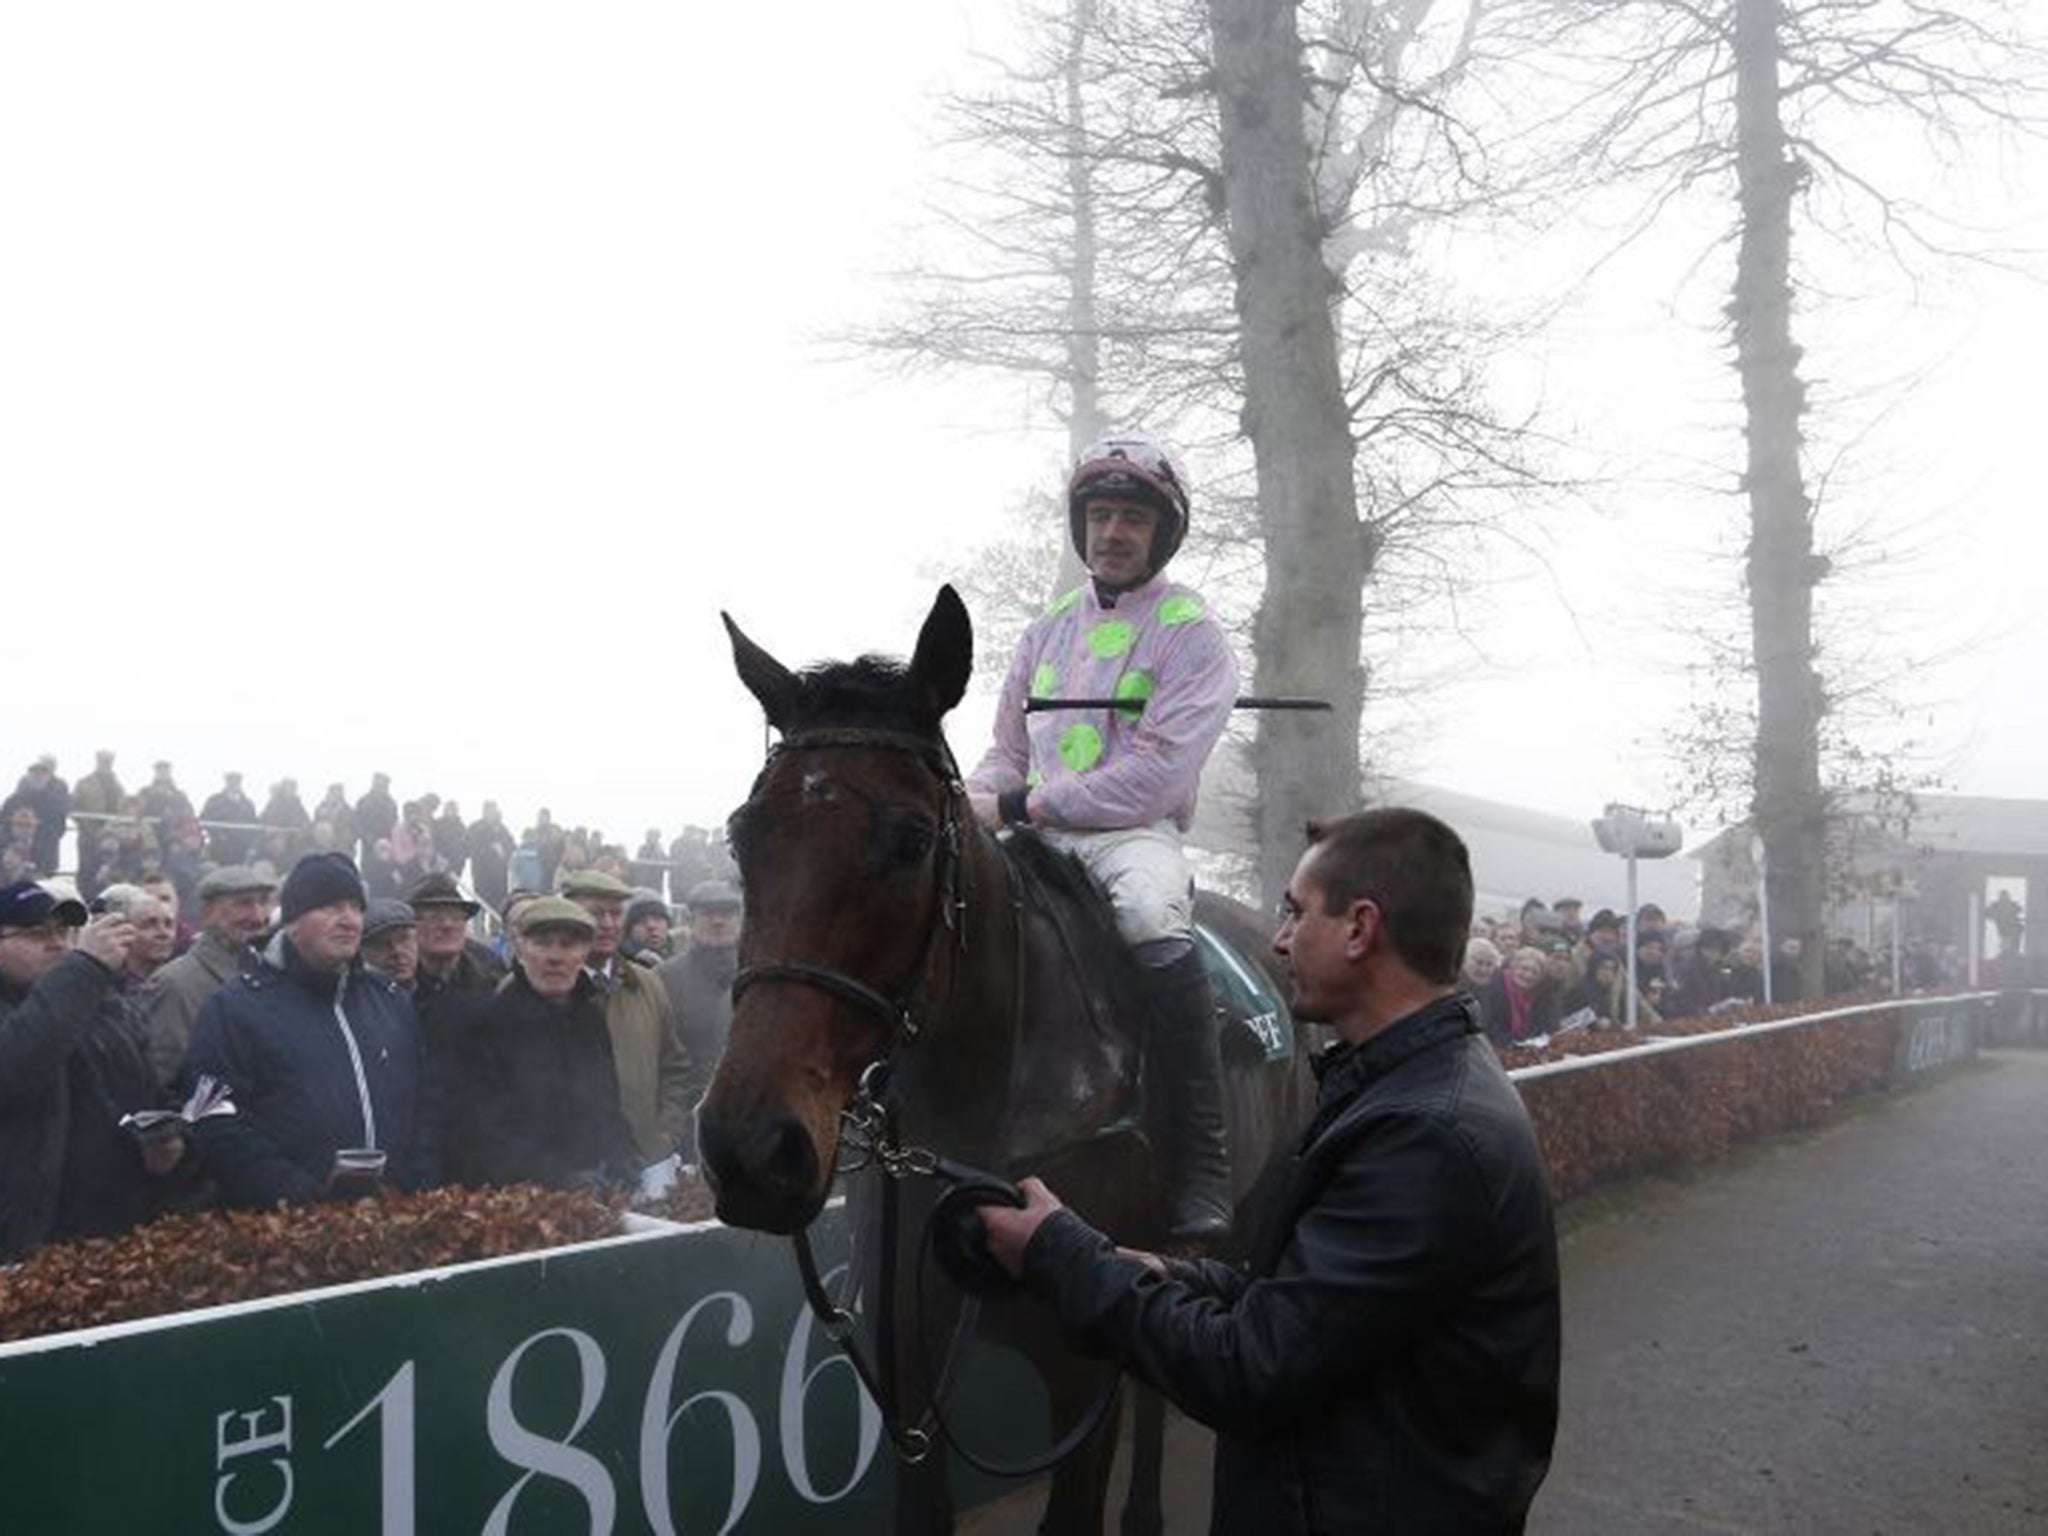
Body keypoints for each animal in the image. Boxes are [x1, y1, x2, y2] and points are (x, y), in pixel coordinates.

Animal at [700, 585, 1310, 1536]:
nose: (750, 1149)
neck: (986, 1107)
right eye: (741, 836)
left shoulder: (1082, 1374)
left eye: (914, 839)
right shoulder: (908, 1375)